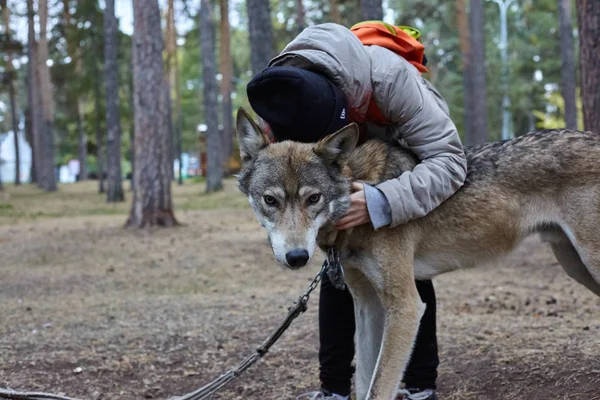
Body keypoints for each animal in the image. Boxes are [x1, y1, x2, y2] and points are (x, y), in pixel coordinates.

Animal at [233, 107, 600, 400]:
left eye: (313, 199)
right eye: (270, 200)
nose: (296, 257)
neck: (362, 190)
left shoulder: (407, 307)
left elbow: (379, 387)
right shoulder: (368, 306)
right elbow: (363, 380)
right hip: (574, 265)